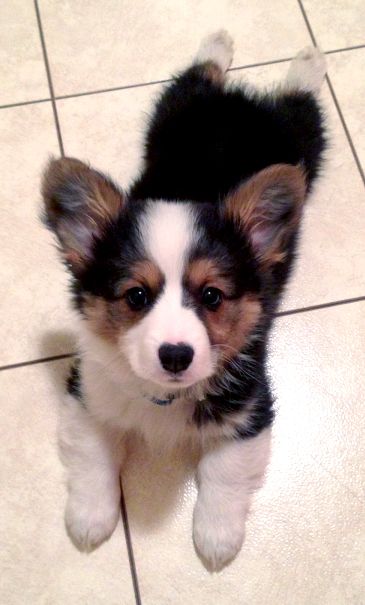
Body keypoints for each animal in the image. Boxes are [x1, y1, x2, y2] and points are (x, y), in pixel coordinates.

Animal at [41, 31, 326, 572]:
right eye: (136, 295)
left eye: (212, 295)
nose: (175, 355)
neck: (162, 395)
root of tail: (240, 103)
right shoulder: (87, 393)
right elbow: (92, 457)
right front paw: (89, 520)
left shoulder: (251, 407)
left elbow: (225, 472)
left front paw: (216, 539)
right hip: (169, 109)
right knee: (201, 72)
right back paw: (220, 44)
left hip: (305, 142)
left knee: (301, 101)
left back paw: (306, 59)